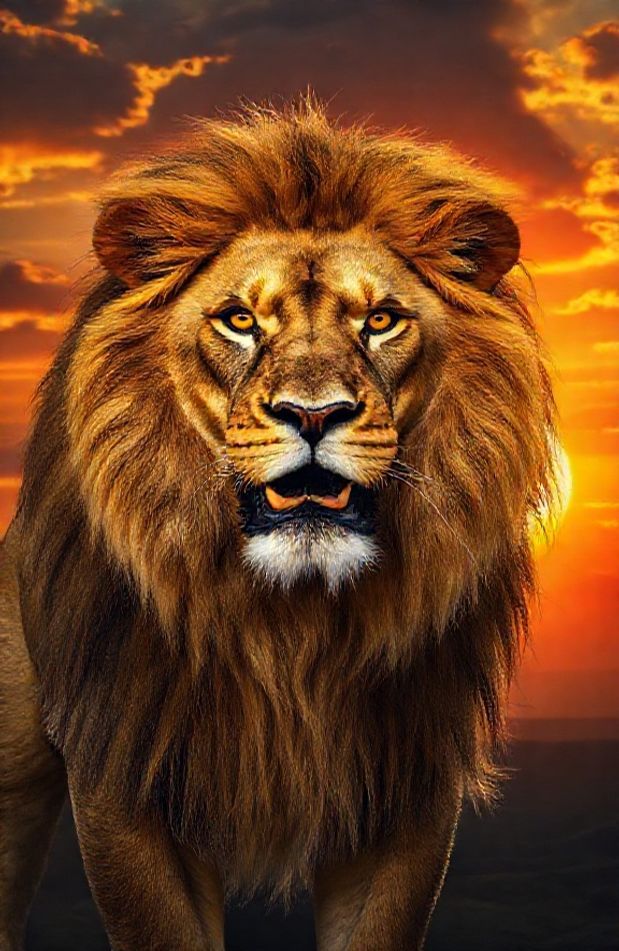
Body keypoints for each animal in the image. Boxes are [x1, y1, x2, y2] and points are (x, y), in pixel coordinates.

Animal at [0, 99, 556, 950]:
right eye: (238, 320)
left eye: (382, 320)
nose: (313, 414)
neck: (286, 622)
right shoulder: (118, 766)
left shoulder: (407, 779)